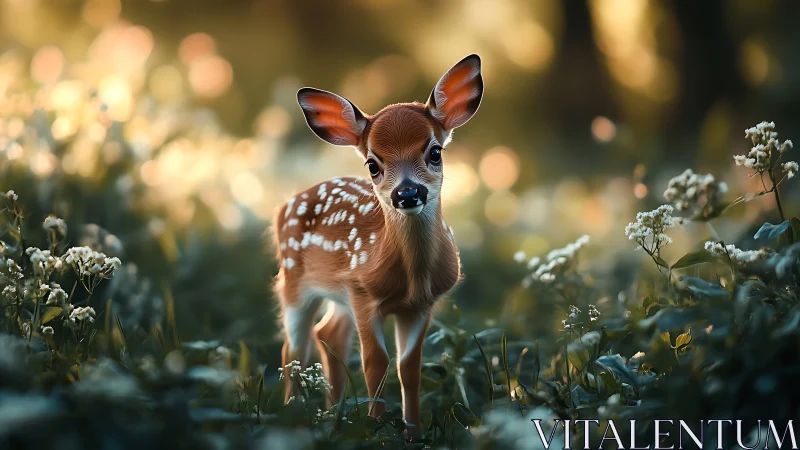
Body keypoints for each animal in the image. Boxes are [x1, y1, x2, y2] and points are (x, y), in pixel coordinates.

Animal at [272, 54, 483, 437]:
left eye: (435, 152)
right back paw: (293, 417)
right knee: (293, 348)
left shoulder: (420, 305)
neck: (410, 278)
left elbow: (409, 369)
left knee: (328, 334)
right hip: (294, 283)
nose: (408, 193)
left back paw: (333, 415)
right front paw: (377, 431)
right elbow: (376, 367)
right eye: (373, 164)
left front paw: (413, 433)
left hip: (338, 294)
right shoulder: (364, 295)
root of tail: (284, 205)